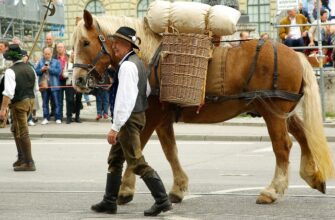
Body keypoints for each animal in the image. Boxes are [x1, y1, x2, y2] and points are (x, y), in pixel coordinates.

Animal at [72, 10, 334, 205]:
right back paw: (312, 175)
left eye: (85, 42)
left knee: (283, 146)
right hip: (282, 113)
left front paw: (125, 189)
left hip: (272, 113)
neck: (151, 57)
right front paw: (178, 187)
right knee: (302, 135)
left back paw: (273, 190)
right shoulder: (163, 118)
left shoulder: (152, 114)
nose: (77, 80)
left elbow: (137, 148)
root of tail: (296, 55)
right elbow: (170, 151)